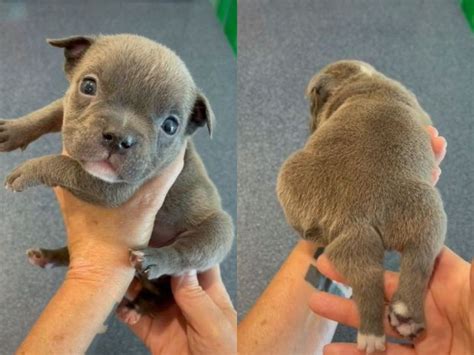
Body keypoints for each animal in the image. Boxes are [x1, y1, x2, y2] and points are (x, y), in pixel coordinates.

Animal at [0, 34, 233, 320]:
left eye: (170, 126)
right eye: (88, 86)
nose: (119, 138)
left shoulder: (112, 189)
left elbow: (64, 165)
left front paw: (28, 170)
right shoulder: (69, 109)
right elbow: (49, 112)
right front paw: (14, 130)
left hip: (217, 230)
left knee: (181, 260)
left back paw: (147, 281)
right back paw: (47, 257)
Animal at [276, 60, 446, 354]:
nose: (310, 127)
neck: (362, 82)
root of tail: (359, 215)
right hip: (426, 210)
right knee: (412, 260)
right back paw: (399, 319)